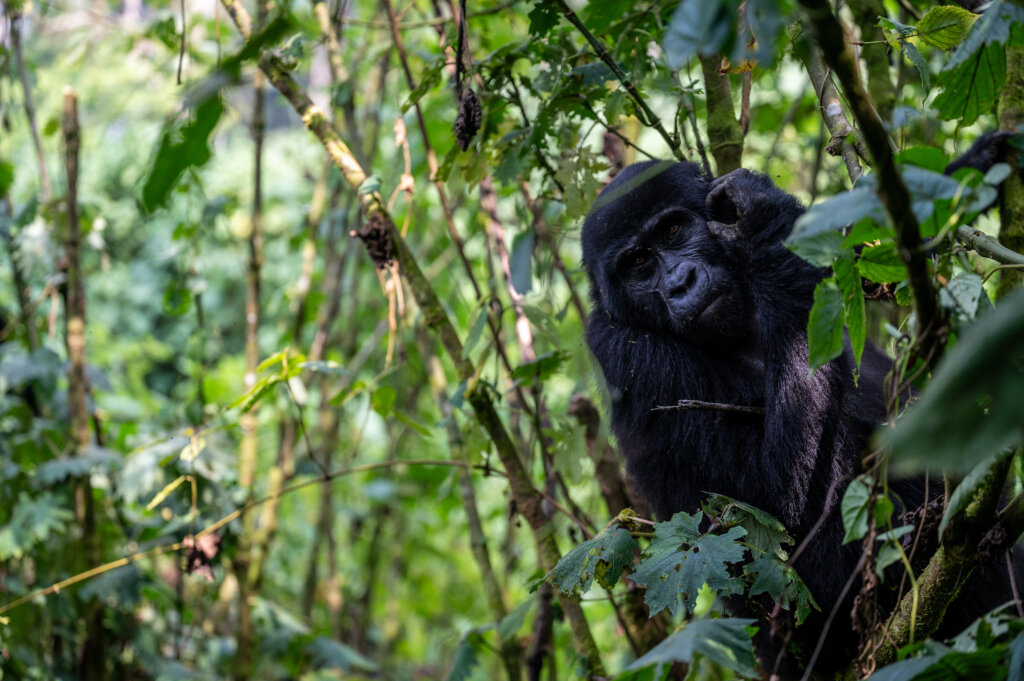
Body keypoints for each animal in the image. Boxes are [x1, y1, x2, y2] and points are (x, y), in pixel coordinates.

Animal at [585, 146, 1024, 671]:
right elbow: (798, 537)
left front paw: (978, 162)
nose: (679, 283)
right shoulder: (627, 356)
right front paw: (760, 223)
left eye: (673, 230)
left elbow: (870, 237)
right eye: (637, 264)